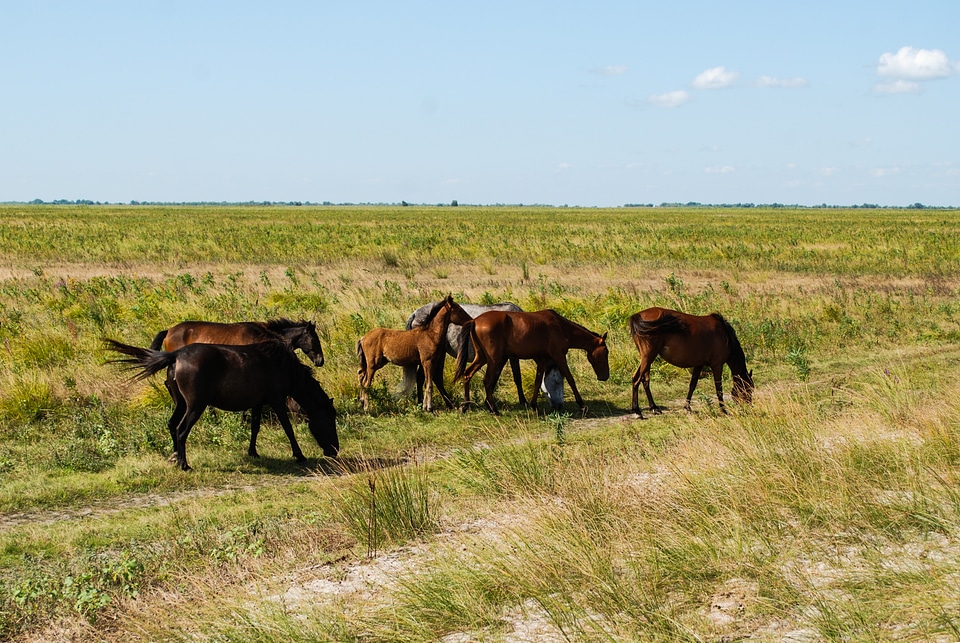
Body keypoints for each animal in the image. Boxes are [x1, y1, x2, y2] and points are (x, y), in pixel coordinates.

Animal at [404, 304, 568, 412]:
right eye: (558, 381)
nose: (560, 405)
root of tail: (415, 313)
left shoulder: (503, 357)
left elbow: (496, 377)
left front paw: (488, 402)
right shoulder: (508, 357)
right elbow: (515, 378)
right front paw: (522, 402)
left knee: (429, 377)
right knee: (429, 377)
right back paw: (432, 403)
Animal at [452, 310, 608, 416]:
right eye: (606, 352)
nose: (605, 376)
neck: (561, 327)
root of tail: (475, 321)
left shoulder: (543, 359)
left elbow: (538, 381)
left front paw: (534, 405)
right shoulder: (559, 356)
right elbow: (570, 379)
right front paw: (582, 405)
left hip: (482, 358)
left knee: (467, 375)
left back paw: (465, 406)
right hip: (493, 360)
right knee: (487, 381)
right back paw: (494, 410)